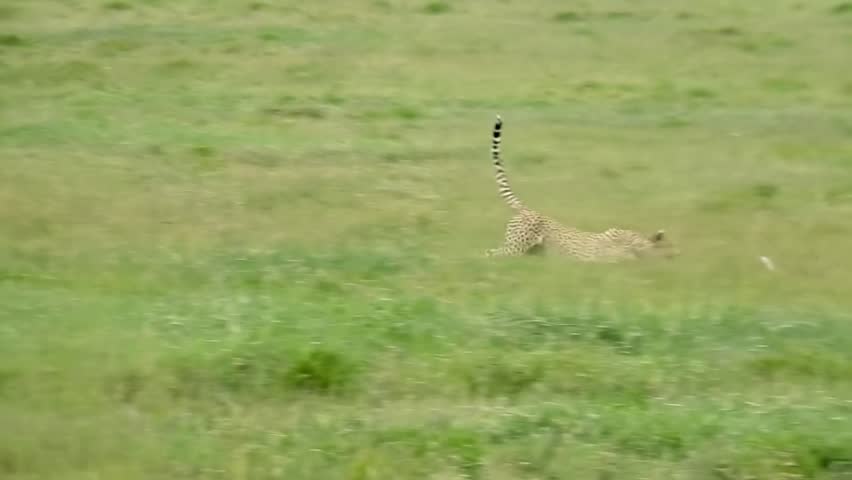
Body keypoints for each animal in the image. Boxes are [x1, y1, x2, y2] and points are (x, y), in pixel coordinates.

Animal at [485, 115, 676, 261]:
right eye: (669, 246)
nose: (676, 254)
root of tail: (530, 211)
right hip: (514, 249)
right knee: (489, 254)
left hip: (527, 251)